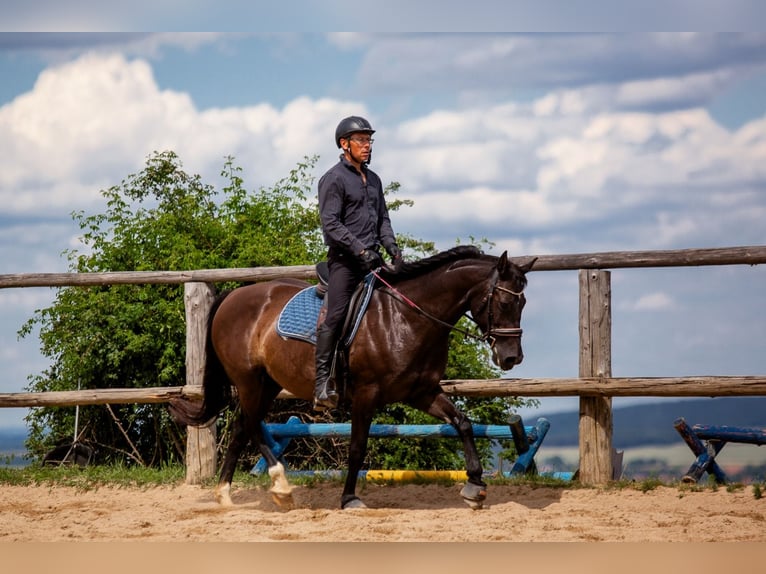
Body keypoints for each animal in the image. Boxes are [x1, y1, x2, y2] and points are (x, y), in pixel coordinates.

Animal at [170, 245, 535, 510]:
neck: (406, 317)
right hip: (249, 381)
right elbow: (358, 448)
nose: (511, 358)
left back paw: (225, 494)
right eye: (504, 301)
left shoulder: (422, 391)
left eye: (523, 303)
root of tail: (232, 296)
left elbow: (462, 423)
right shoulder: (366, 394)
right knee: (251, 425)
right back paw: (282, 487)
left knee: (241, 427)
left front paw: (475, 487)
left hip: (267, 383)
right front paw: (349, 499)